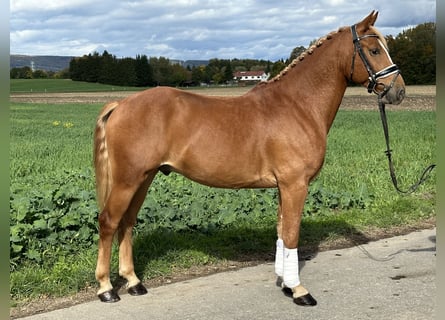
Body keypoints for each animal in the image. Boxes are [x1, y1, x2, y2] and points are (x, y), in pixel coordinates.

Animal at [94, 10, 406, 304]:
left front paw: (285, 283)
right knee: (109, 221)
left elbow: (281, 231)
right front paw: (299, 291)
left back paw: (133, 282)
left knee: (127, 222)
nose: (399, 91)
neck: (297, 106)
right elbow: (292, 234)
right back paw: (106, 288)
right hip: (127, 180)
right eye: (374, 50)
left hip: (143, 178)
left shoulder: (284, 186)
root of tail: (121, 104)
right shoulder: (295, 184)